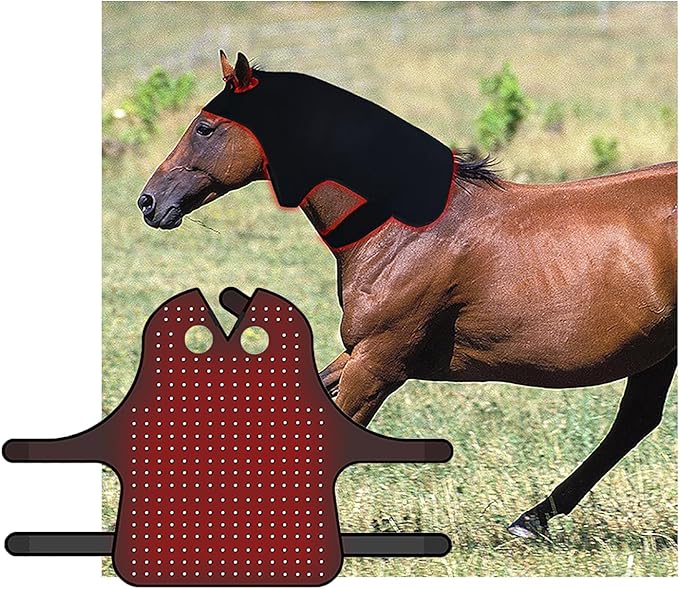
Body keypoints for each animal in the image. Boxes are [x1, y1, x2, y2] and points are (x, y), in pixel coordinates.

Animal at [138, 51, 677, 538]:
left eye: (206, 128)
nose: (149, 201)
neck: (404, 229)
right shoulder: (359, 352)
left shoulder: (380, 363)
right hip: (656, 351)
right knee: (634, 423)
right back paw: (531, 519)